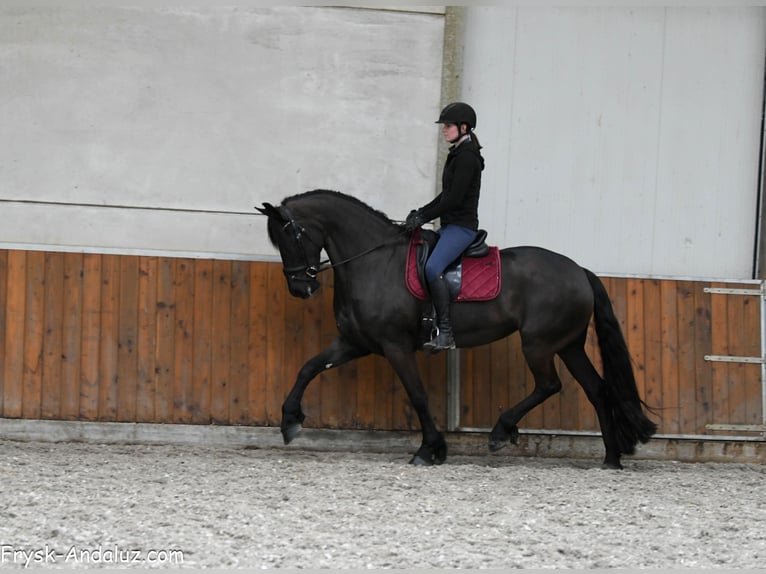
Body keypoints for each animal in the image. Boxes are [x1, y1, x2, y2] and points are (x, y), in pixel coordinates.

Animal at [257, 189, 657, 468]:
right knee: (598, 390)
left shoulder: (395, 346)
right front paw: (289, 420)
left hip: (539, 344)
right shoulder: (355, 342)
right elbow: (308, 367)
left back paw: (501, 432)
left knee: (549, 385)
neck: (373, 261)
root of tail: (580, 271)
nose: (301, 288)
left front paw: (430, 449)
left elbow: (417, 395)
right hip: (568, 344)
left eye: (291, 237)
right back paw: (610, 459)